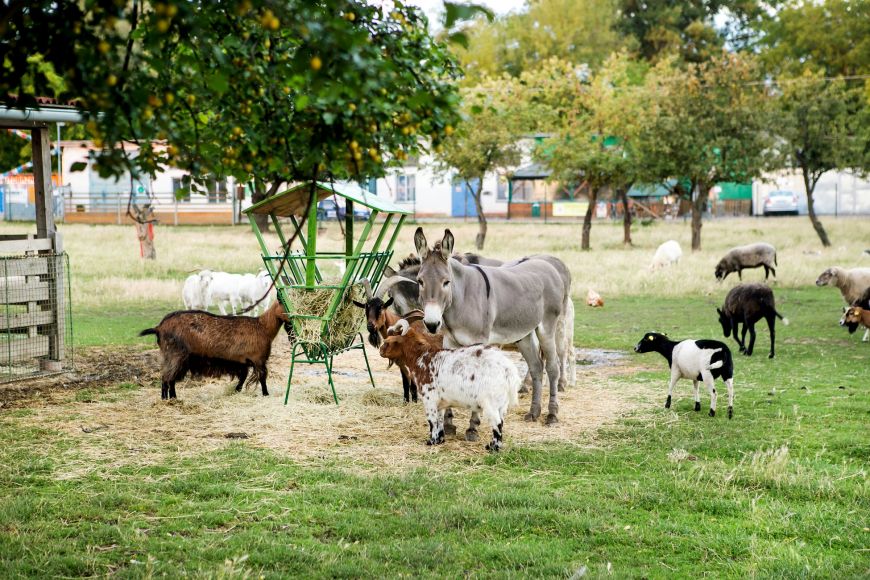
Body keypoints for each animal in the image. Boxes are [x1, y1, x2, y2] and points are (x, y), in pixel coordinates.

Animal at [141, 300, 292, 398]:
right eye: (285, 305)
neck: (262, 327)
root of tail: (159, 327)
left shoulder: (242, 361)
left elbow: (243, 377)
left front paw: (236, 390)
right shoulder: (258, 359)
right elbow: (262, 377)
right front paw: (266, 394)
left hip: (172, 356)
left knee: (167, 377)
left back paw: (170, 398)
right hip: (176, 355)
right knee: (168, 377)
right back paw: (168, 398)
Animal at [380, 312, 516, 454]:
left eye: (392, 340)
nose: (381, 350)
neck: (423, 357)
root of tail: (508, 369)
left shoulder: (429, 399)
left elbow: (432, 421)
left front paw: (431, 441)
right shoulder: (440, 404)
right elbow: (439, 421)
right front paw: (439, 440)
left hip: (491, 402)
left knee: (497, 423)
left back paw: (493, 447)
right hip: (502, 403)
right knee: (502, 422)